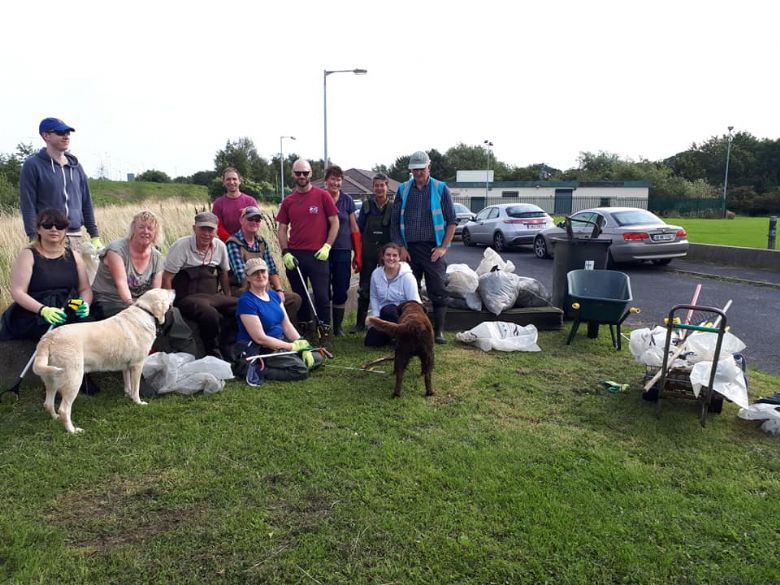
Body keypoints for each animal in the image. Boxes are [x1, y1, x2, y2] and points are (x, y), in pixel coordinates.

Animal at [32, 288, 174, 432]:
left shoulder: (126, 366)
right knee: (64, 410)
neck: (145, 311)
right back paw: (73, 431)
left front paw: (128, 396)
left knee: (48, 404)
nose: (173, 290)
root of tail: (49, 338)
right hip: (74, 379)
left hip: (51, 381)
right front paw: (138, 402)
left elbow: (128, 385)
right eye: (165, 292)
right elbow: (136, 389)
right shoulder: (137, 365)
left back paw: (56, 418)